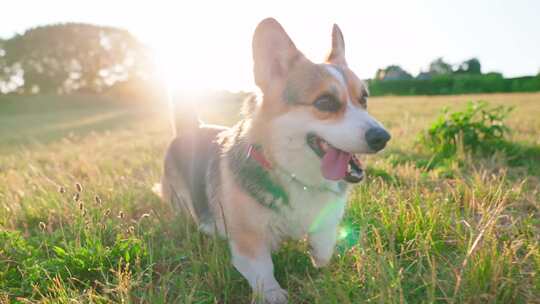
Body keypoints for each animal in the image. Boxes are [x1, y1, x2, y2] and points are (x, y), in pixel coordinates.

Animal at [158, 17, 390, 302]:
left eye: (364, 98)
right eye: (324, 102)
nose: (383, 137)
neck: (293, 173)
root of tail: (191, 128)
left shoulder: (326, 219)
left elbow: (324, 245)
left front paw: (319, 262)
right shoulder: (249, 241)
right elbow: (263, 270)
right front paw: (275, 294)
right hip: (180, 200)